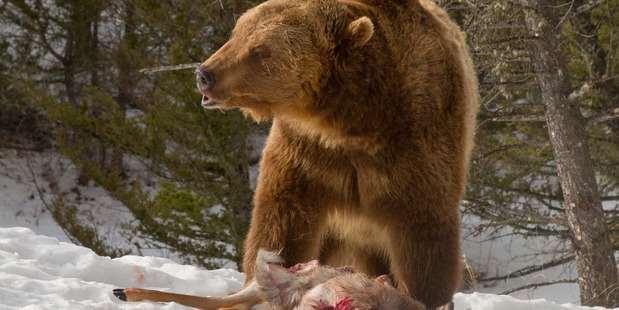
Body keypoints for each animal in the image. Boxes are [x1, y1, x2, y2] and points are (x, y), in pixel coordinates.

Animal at [197, 0, 480, 306]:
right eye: (236, 35)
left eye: (259, 50)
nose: (205, 74)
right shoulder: (305, 152)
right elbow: (281, 218)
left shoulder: (414, 147)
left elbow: (425, 233)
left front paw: (426, 295)